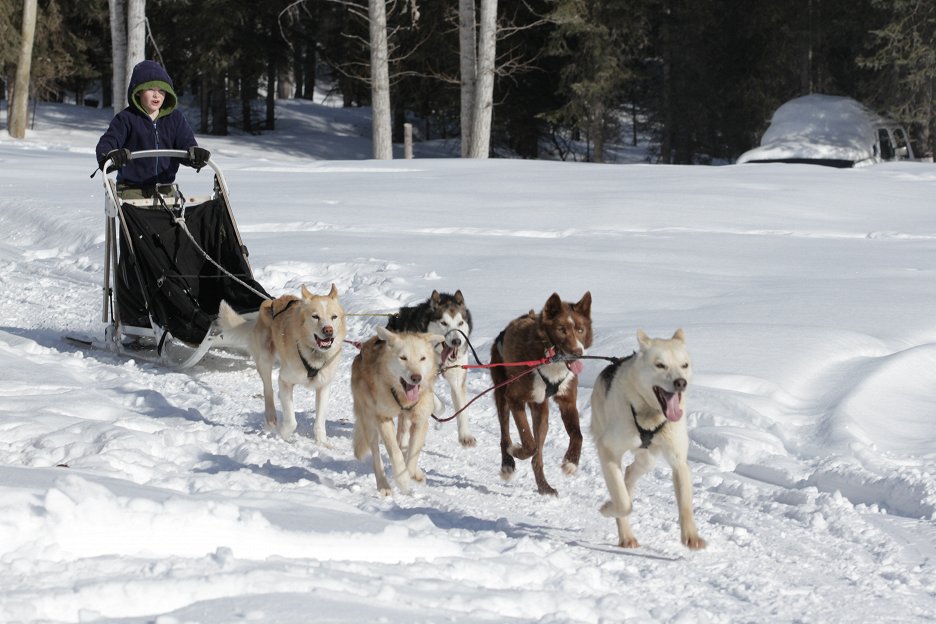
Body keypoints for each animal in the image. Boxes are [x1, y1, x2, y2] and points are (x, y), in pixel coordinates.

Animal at [218, 282, 346, 444]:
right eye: (315, 316)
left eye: (334, 317)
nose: (328, 330)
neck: (313, 354)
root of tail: (271, 302)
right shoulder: (285, 380)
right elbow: (291, 421)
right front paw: (282, 434)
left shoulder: (323, 386)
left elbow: (320, 420)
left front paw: (322, 442)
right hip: (265, 359)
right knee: (268, 390)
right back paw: (271, 417)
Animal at [354, 326, 446, 498]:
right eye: (403, 358)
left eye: (422, 358)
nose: (416, 377)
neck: (403, 398)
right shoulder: (383, 418)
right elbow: (395, 453)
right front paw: (402, 480)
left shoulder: (420, 421)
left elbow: (412, 454)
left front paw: (410, 473)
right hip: (369, 421)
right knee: (377, 455)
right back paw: (384, 485)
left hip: (405, 421)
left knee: (403, 442)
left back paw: (416, 473)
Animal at [386, 290, 476, 446]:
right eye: (443, 323)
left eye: (460, 323)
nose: (457, 341)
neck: (438, 355)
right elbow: (438, 404)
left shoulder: (457, 378)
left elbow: (462, 409)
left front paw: (465, 436)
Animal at [592, 330, 704, 548]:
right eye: (660, 365)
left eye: (684, 365)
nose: (681, 382)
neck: (651, 414)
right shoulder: (607, 449)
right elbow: (623, 503)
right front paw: (608, 507)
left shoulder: (679, 461)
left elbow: (686, 505)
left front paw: (691, 536)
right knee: (623, 490)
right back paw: (625, 533)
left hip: (648, 458)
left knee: (629, 473)